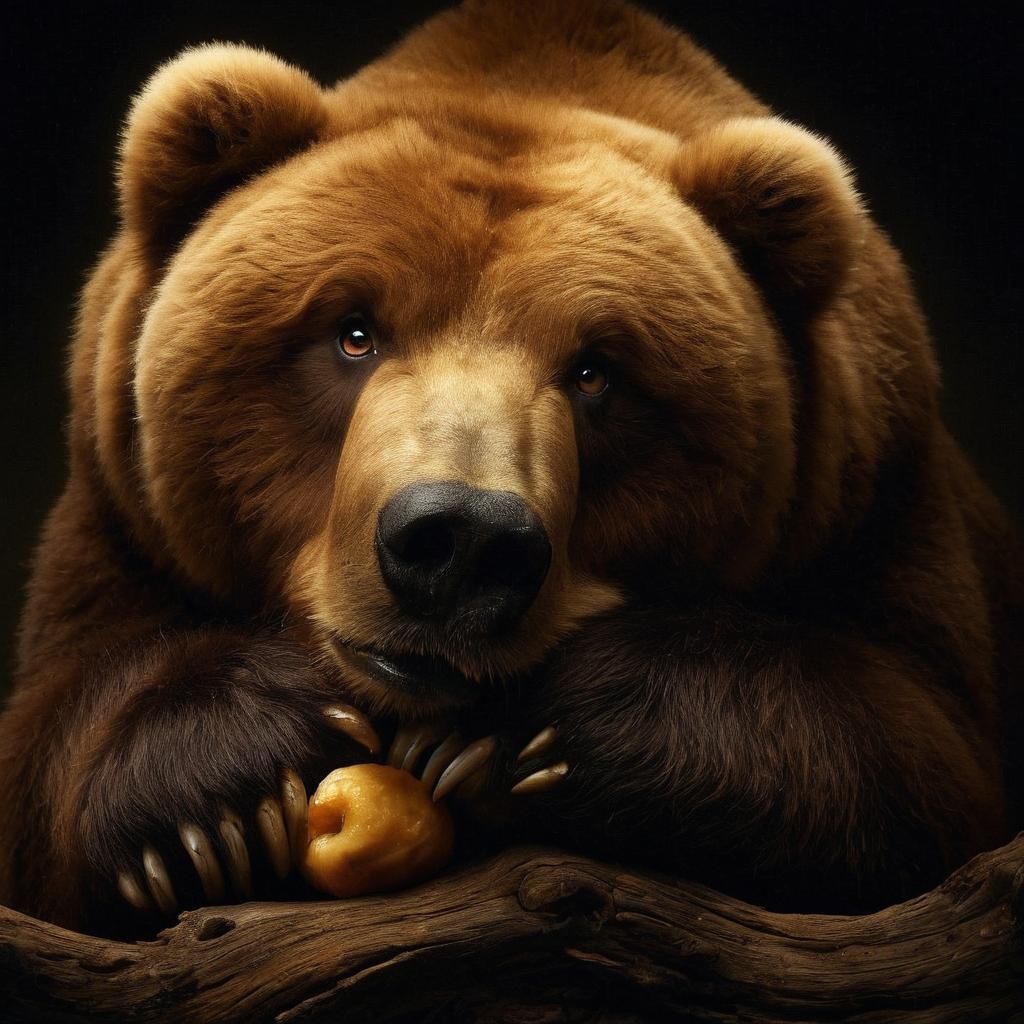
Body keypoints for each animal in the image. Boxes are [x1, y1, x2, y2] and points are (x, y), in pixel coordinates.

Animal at [1, 0, 1021, 934]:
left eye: (597, 371)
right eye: (354, 331)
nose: (458, 541)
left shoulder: (878, 510)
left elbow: (915, 749)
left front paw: (539, 730)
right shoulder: (120, 518)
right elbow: (54, 736)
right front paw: (228, 779)